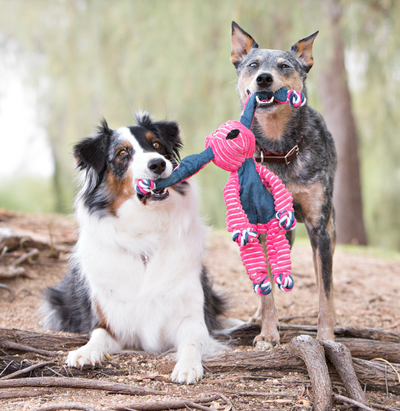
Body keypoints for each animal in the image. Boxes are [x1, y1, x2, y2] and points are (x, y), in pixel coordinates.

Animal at [42, 112, 228, 384]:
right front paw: (85, 352)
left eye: (157, 145)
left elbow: (193, 340)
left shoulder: (192, 316)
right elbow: (97, 335)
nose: (158, 164)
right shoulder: (110, 321)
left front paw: (187, 366)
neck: (145, 232)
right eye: (122, 153)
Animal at [231, 20, 338, 346]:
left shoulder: (319, 228)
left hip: (330, 230)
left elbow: (325, 292)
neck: (281, 149)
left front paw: (326, 336)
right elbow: (267, 292)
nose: (264, 78)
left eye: (285, 66)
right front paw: (267, 333)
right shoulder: (262, 225)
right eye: (252, 65)